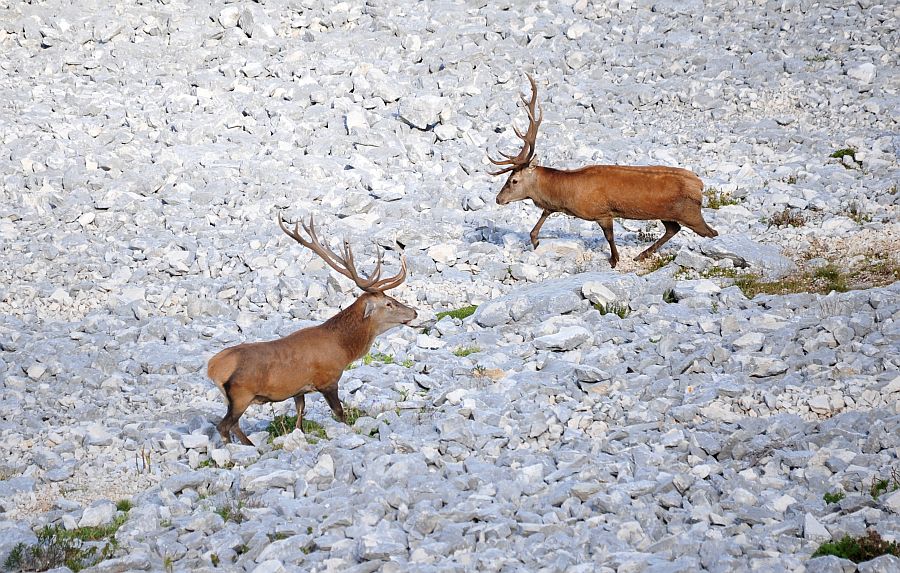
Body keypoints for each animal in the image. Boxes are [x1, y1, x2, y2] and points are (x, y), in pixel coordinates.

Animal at [206, 212, 416, 444]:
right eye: (389, 303)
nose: (414, 312)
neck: (344, 349)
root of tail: (212, 368)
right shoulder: (328, 380)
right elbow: (340, 413)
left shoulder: (299, 390)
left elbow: (300, 413)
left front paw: (298, 435)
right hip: (241, 394)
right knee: (224, 426)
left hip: (232, 399)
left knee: (233, 425)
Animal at [488, 73, 712, 266]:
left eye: (514, 180)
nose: (498, 199)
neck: (568, 194)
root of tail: (700, 184)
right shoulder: (556, 206)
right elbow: (545, 213)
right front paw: (535, 240)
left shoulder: (602, 212)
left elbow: (609, 236)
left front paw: (614, 260)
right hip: (669, 215)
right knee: (674, 228)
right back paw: (642, 254)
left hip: (690, 213)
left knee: (709, 232)